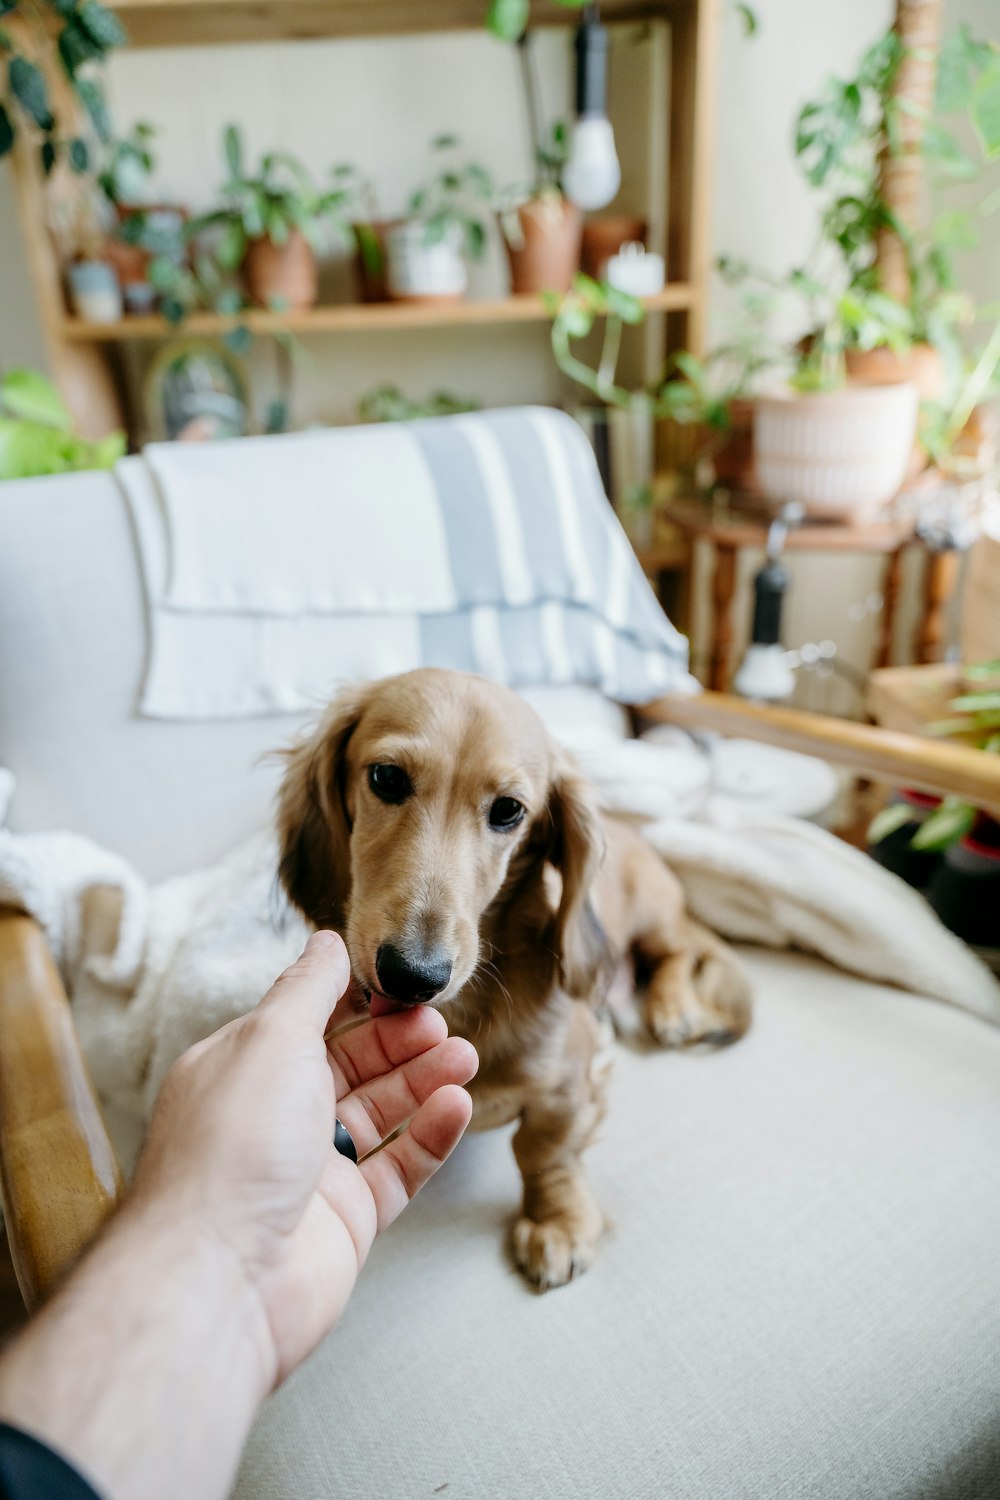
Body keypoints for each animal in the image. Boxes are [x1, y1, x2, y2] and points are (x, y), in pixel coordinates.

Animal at [280, 669, 749, 1290]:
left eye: (508, 810)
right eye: (386, 777)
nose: (413, 975)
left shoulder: (566, 1089)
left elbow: (542, 1151)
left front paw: (557, 1220)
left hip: (652, 913)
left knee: (677, 954)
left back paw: (673, 1008)